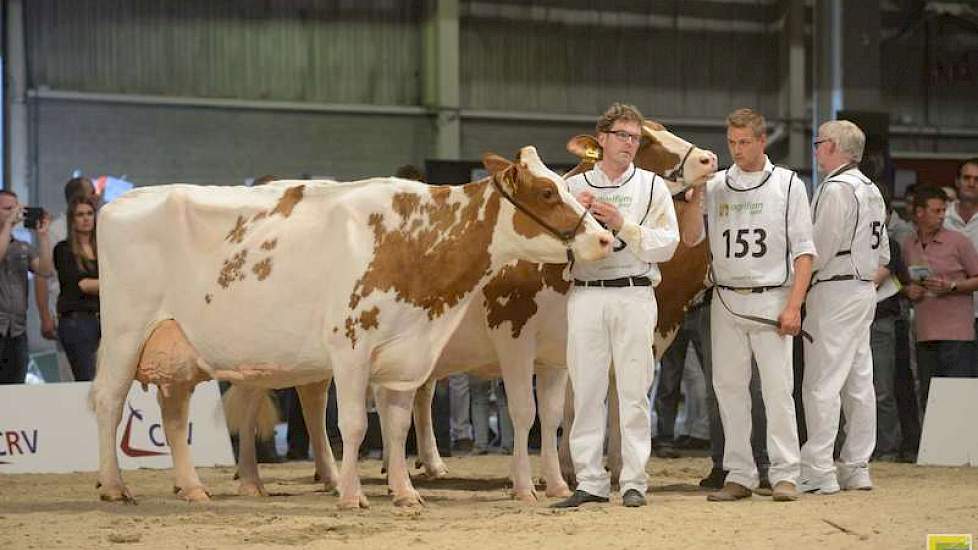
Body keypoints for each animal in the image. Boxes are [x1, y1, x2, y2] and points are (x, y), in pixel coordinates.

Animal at [91, 147, 608, 508]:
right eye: (547, 193)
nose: (605, 238)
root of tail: (124, 201)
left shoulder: (407, 350)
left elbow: (398, 425)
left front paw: (404, 492)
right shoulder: (355, 347)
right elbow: (357, 424)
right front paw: (352, 494)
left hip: (189, 346)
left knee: (177, 414)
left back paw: (197, 486)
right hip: (125, 334)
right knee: (110, 402)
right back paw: (115, 486)